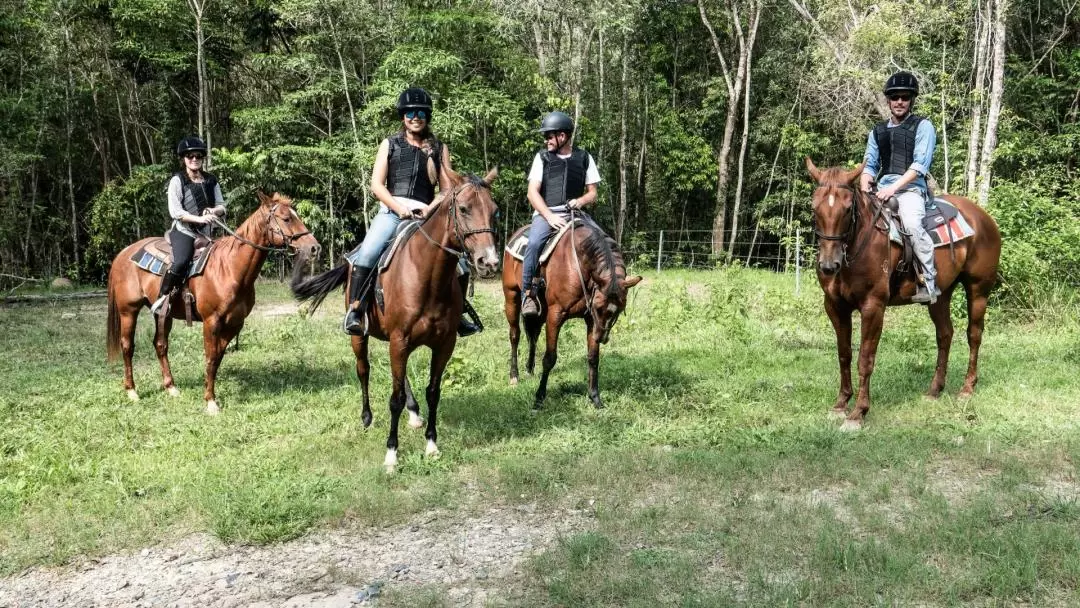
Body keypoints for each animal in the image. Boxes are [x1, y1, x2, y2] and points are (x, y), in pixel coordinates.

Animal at [107, 192, 321, 416]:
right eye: (286, 218)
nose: (314, 248)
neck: (229, 268)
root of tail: (123, 254)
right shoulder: (211, 321)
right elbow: (210, 358)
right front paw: (210, 401)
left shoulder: (234, 323)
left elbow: (217, 358)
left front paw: (210, 395)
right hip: (128, 311)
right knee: (127, 346)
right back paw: (132, 391)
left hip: (163, 314)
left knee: (160, 344)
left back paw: (171, 387)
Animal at [291, 168, 501, 473]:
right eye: (463, 209)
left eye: (494, 210)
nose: (490, 262)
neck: (428, 277)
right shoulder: (399, 341)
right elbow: (394, 399)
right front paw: (391, 454)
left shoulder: (442, 345)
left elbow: (432, 391)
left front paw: (432, 445)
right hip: (361, 337)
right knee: (364, 370)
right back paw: (367, 418)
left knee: (401, 380)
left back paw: (414, 415)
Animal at [498, 215, 639, 412]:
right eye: (599, 307)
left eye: (618, 310)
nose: (601, 338)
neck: (578, 264)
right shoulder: (556, 315)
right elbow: (550, 358)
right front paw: (538, 398)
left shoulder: (591, 320)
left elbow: (593, 357)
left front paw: (595, 398)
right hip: (511, 296)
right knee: (515, 335)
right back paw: (514, 376)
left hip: (540, 311)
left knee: (533, 335)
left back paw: (530, 369)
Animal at [803, 159, 1002, 429]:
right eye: (815, 208)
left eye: (847, 209)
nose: (828, 265)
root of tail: (983, 217)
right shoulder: (835, 306)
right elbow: (844, 355)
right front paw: (841, 404)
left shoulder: (873, 307)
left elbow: (865, 359)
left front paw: (858, 413)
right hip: (940, 295)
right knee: (945, 335)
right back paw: (934, 390)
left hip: (978, 290)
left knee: (974, 335)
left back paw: (967, 388)